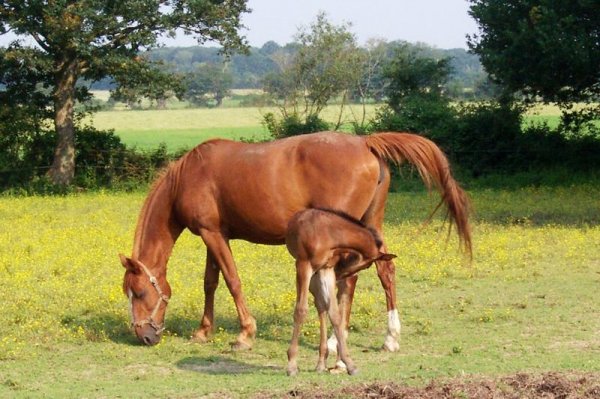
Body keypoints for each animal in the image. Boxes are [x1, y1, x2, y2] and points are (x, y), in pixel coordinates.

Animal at [119, 132, 472, 350]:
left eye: (140, 292)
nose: (143, 335)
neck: (190, 175)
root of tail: (366, 143)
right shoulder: (215, 235)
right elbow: (211, 282)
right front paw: (203, 331)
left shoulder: (212, 234)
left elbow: (232, 280)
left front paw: (245, 334)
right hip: (370, 226)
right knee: (385, 271)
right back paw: (390, 338)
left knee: (349, 278)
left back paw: (335, 342)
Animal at [288, 208, 398, 376]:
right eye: (368, 265)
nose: (339, 274)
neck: (329, 235)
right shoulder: (303, 265)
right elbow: (301, 310)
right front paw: (292, 365)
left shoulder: (326, 269)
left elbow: (335, 314)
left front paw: (349, 364)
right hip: (309, 272)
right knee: (318, 305)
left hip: (318, 275)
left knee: (321, 306)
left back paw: (321, 363)